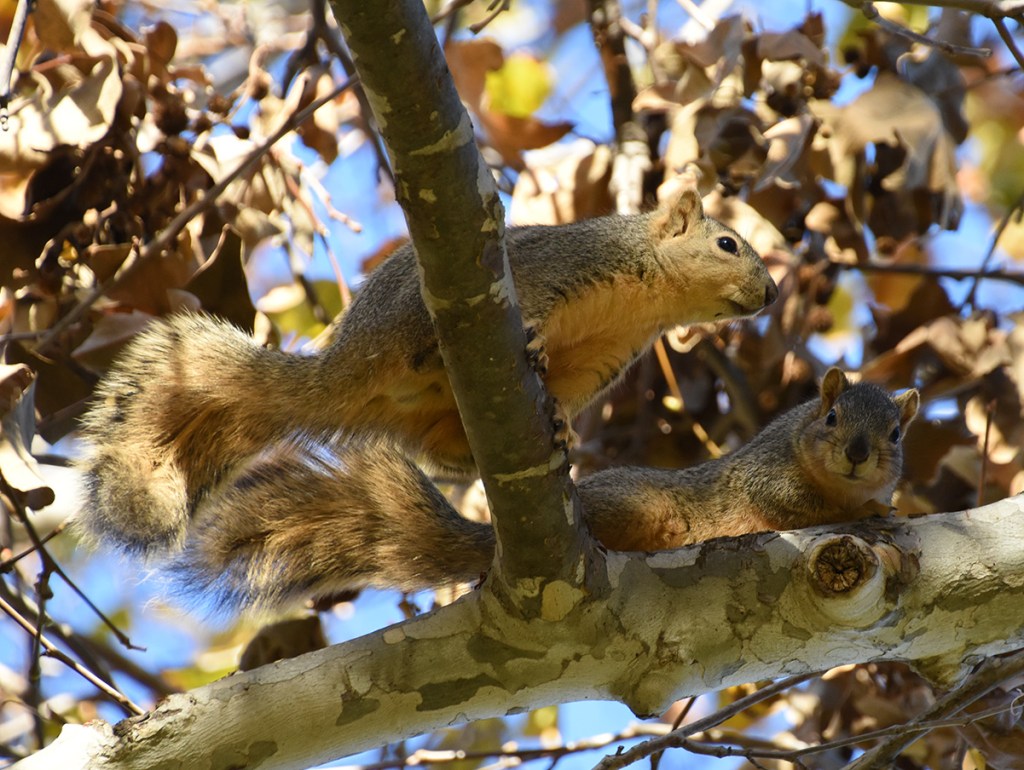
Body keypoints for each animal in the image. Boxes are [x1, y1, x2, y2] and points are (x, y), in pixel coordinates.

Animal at [78, 189, 777, 556]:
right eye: (727, 245)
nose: (770, 293)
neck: (647, 299)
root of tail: (343, 367)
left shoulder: (607, 359)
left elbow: (567, 390)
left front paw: (561, 423)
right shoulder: (554, 267)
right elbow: (535, 305)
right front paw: (533, 343)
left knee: (445, 448)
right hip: (414, 311)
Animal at [148, 367, 918, 611]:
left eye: (896, 434)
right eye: (831, 418)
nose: (858, 455)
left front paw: (881, 503)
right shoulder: (768, 478)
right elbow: (798, 509)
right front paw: (870, 519)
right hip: (633, 506)